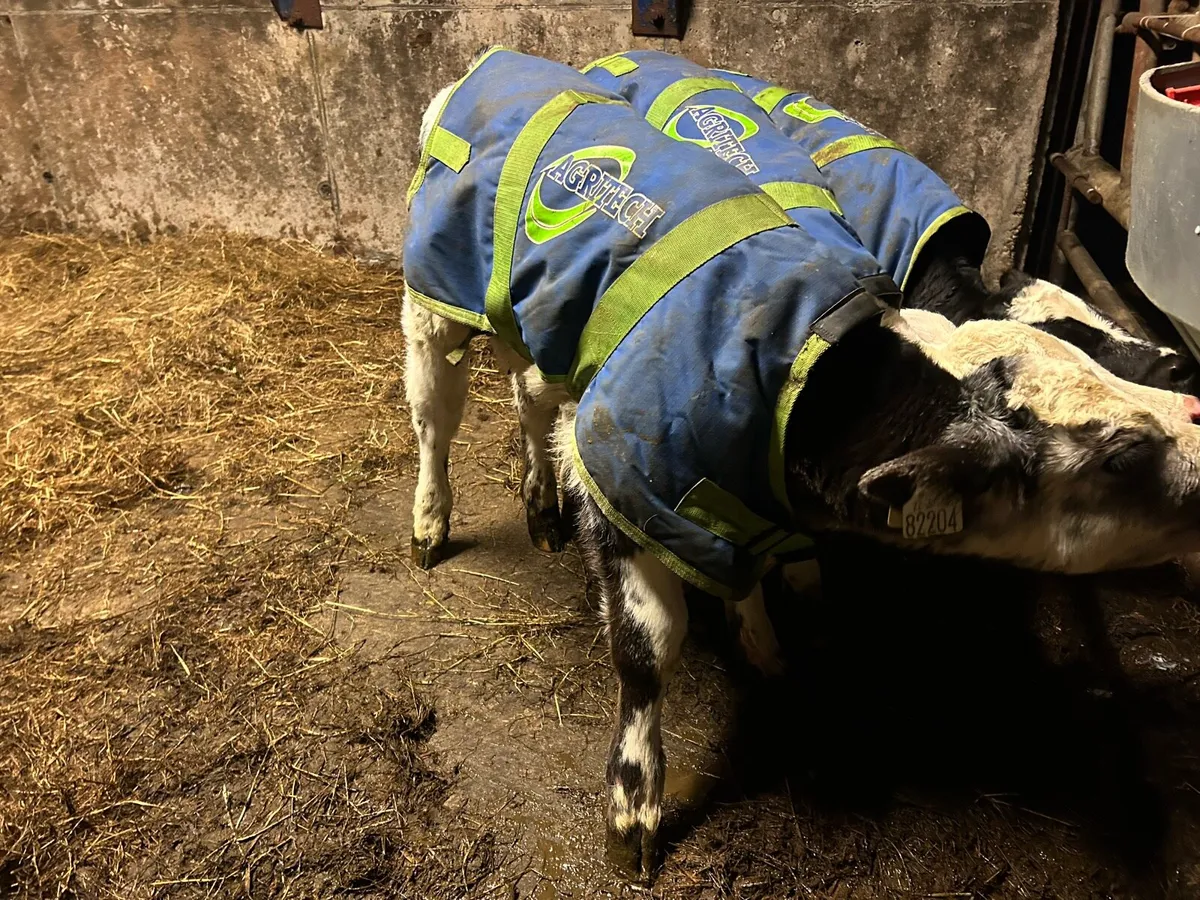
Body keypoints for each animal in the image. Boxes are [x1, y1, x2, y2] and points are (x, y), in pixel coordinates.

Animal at [403, 48, 1200, 881]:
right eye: (1122, 454)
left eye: (1100, 348)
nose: (1189, 397)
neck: (830, 386)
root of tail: (503, 64)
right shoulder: (625, 481)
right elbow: (647, 649)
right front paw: (634, 808)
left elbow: (755, 562)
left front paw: (768, 644)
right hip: (432, 301)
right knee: (435, 416)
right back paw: (431, 524)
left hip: (541, 325)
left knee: (529, 400)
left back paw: (540, 508)